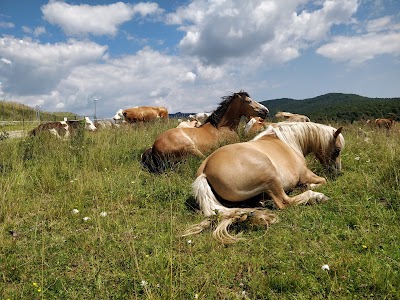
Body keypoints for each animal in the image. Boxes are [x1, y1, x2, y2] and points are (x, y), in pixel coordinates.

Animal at [184, 121, 344, 244]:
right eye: (337, 150)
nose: (337, 173)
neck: (289, 141)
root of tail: (205, 171)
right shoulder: (306, 174)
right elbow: (322, 181)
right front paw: (311, 187)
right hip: (270, 175)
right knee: (284, 202)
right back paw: (317, 196)